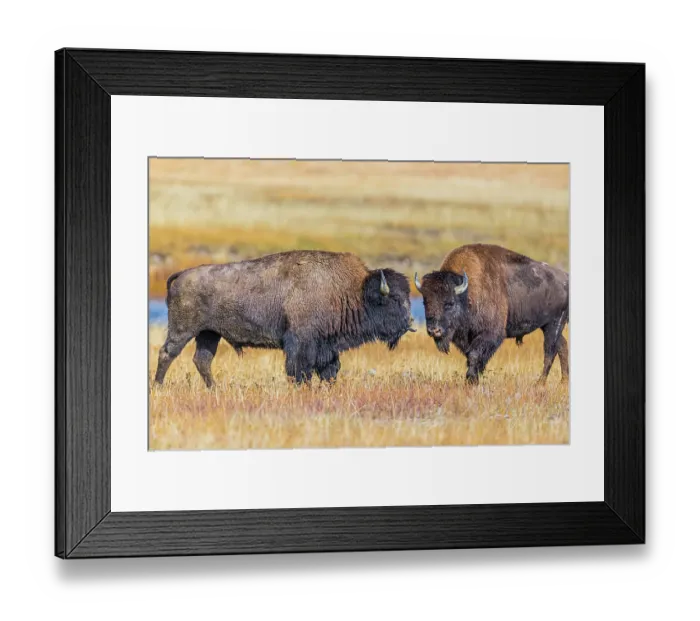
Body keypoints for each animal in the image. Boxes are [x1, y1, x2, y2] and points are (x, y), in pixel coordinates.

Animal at [154, 250, 415, 387]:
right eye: (394, 299)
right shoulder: (300, 343)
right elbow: (299, 370)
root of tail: (181, 275)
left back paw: (214, 389)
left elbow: (330, 370)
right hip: (183, 330)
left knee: (202, 360)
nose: (410, 322)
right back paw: (158, 386)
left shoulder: (327, 348)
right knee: (167, 353)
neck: (352, 292)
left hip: (209, 334)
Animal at [415, 244, 569, 385]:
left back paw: (540, 383)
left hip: (554, 323)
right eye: (425, 302)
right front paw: (474, 379)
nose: (434, 330)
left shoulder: (490, 334)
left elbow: (475, 355)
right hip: (547, 326)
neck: (467, 295)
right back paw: (563, 381)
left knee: (550, 351)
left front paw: (471, 380)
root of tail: (566, 278)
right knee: (562, 346)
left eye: (449, 303)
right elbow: (471, 357)